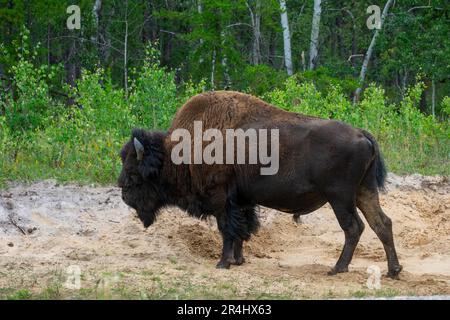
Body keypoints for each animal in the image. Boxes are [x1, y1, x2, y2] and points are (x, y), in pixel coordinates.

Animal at [118, 90, 400, 278]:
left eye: (133, 172)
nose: (123, 194)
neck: (180, 150)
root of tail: (362, 134)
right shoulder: (242, 201)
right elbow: (242, 230)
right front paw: (238, 260)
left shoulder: (222, 200)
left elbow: (228, 230)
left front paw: (223, 263)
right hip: (364, 192)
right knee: (382, 223)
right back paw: (393, 270)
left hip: (340, 198)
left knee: (354, 227)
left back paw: (337, 268)